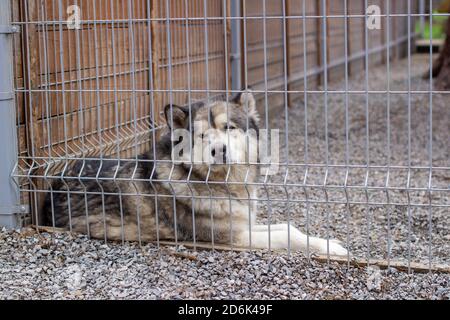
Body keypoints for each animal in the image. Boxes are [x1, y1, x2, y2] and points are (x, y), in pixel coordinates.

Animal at [44, 91, 348, 256]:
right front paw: (334, 250)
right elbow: (285, 235)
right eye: (202, 135)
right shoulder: (233, 237)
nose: (218, 150)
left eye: (229, 128)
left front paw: (330, 243)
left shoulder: (244, 224)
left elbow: (288, 226)